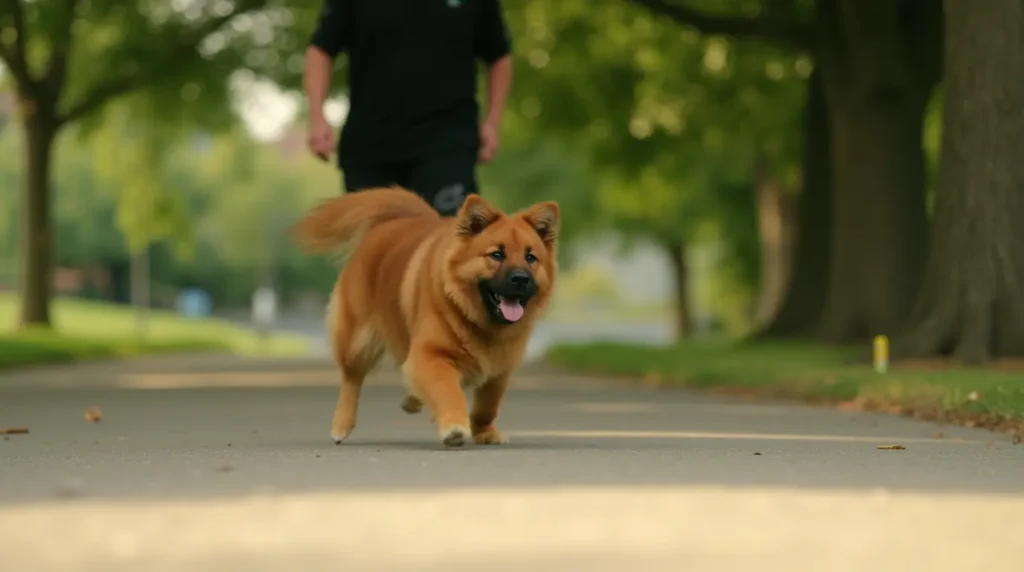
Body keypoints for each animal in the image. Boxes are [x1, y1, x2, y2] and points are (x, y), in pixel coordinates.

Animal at [292, 188, 557, 448]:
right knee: (351, 379)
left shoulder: (501, 369)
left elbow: (487, 405)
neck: (482, 322)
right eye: (497, 255)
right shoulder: (432, 353)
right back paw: (341, 425)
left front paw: (484, 432)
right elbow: (448, 391)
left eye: (531, 258)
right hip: (358, 340)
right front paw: (454, 427)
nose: (521, 278)